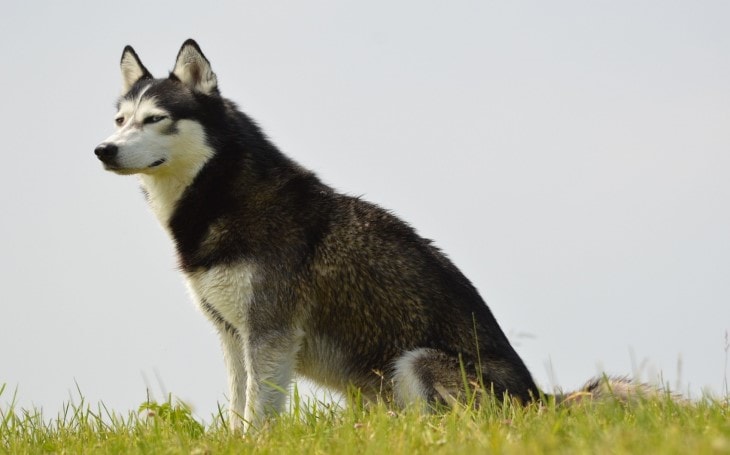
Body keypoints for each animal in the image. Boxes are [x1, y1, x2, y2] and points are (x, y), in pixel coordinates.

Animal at [95, 40, 656, 434]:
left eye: (156, 119)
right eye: (120, 119)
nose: (103, 149)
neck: (221, 196)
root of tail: (540, 401)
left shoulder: (270, 333)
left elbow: (260, 411)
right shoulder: (234, 335)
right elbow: (239, 405)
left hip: (417, 361)